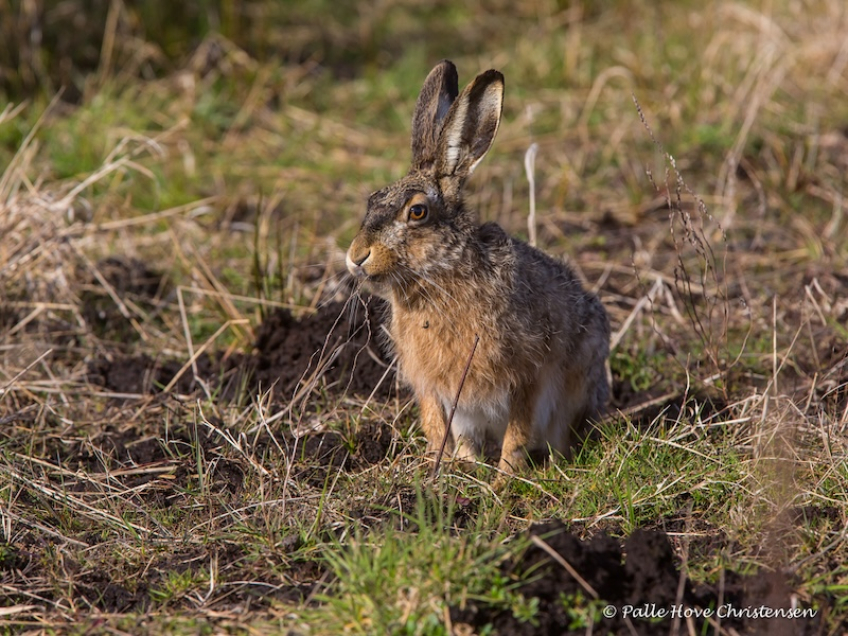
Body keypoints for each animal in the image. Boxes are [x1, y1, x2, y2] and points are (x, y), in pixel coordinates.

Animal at [346, 60, 610, 475]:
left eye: (417, 212)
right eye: (372, 200)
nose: (356, 255)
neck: (439, 279)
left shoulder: (527, 378)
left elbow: (517, 433)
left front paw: (504, 479)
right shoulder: (439, 389)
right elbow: (444, 427)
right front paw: (457, 469)